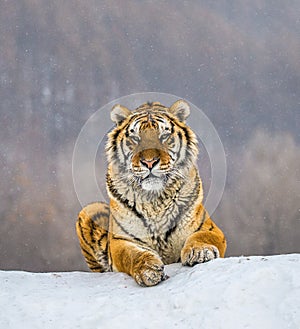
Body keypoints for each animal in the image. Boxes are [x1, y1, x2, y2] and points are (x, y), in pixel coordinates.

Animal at [76, 99, 226, 284]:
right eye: (135, 138)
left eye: (164, 136)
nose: (149, 162)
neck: (155, 200)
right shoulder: (122, 240)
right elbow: (132, 255)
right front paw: (148, 269)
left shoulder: (209, 227)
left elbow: (201, 237)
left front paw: (201, 252)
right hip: (90, 209)